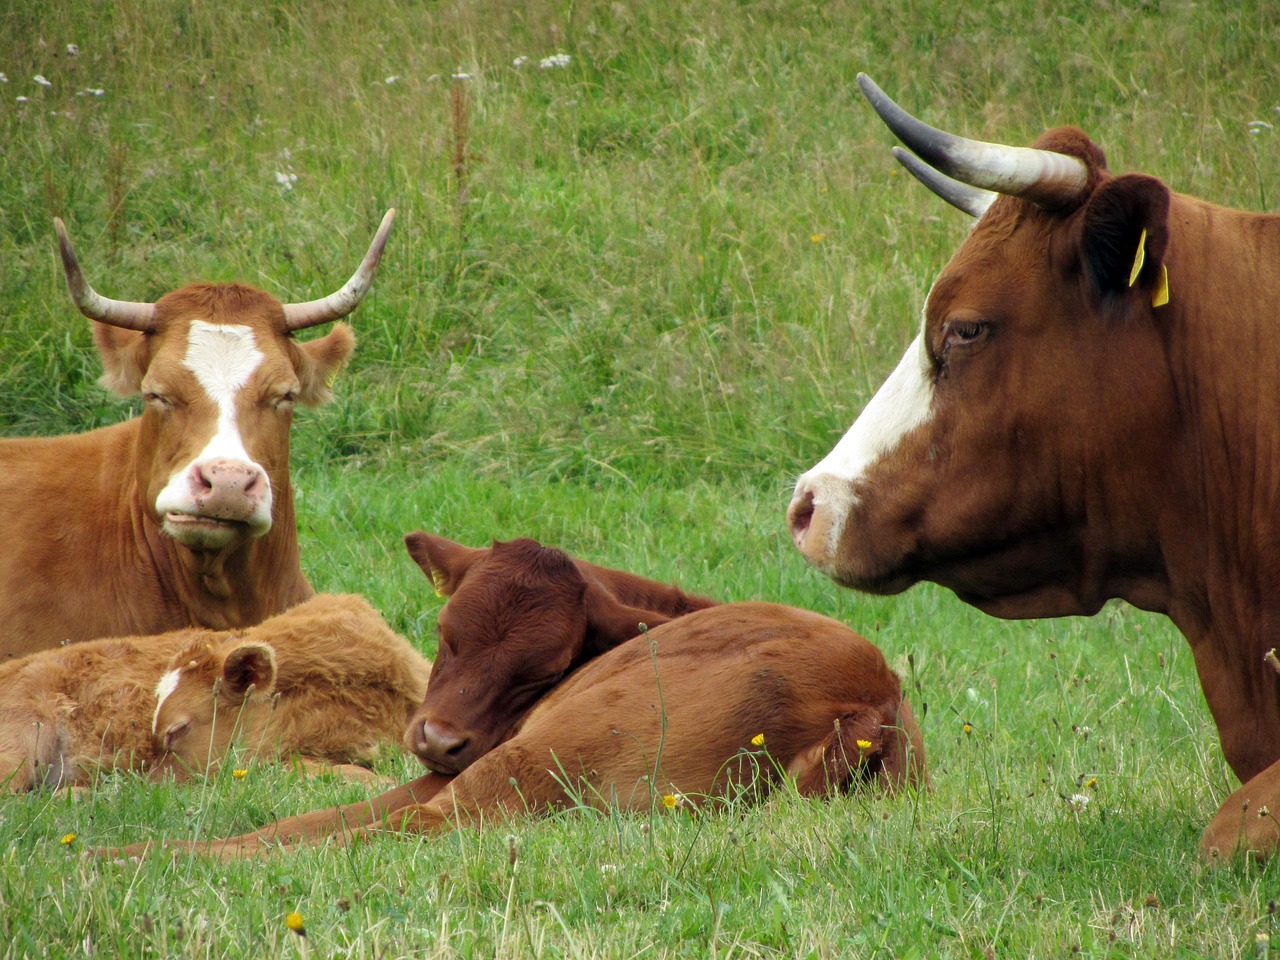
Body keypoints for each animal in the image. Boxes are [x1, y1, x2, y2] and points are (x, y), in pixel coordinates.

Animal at [99, 537, 921, 860]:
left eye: (540, 671)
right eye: (446, 633)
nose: (437, 738)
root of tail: (870, 696)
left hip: (542, 755)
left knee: (404, 830)